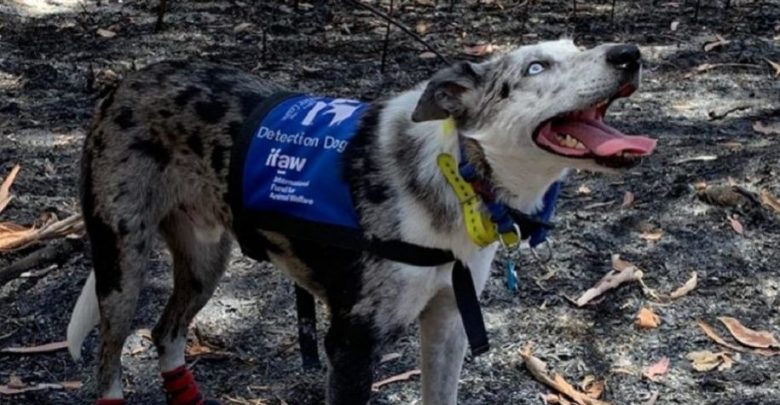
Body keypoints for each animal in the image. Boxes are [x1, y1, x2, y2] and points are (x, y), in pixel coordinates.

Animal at [67, 38, 656, 404]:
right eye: (535, 68)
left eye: (577, 47)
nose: (630, 55)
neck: (459, 176)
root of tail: (125, 83)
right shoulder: (350, 346)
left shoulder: (447, 324)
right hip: (122, 264)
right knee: (108, 365)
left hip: (205, 260)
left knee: (165, 333)